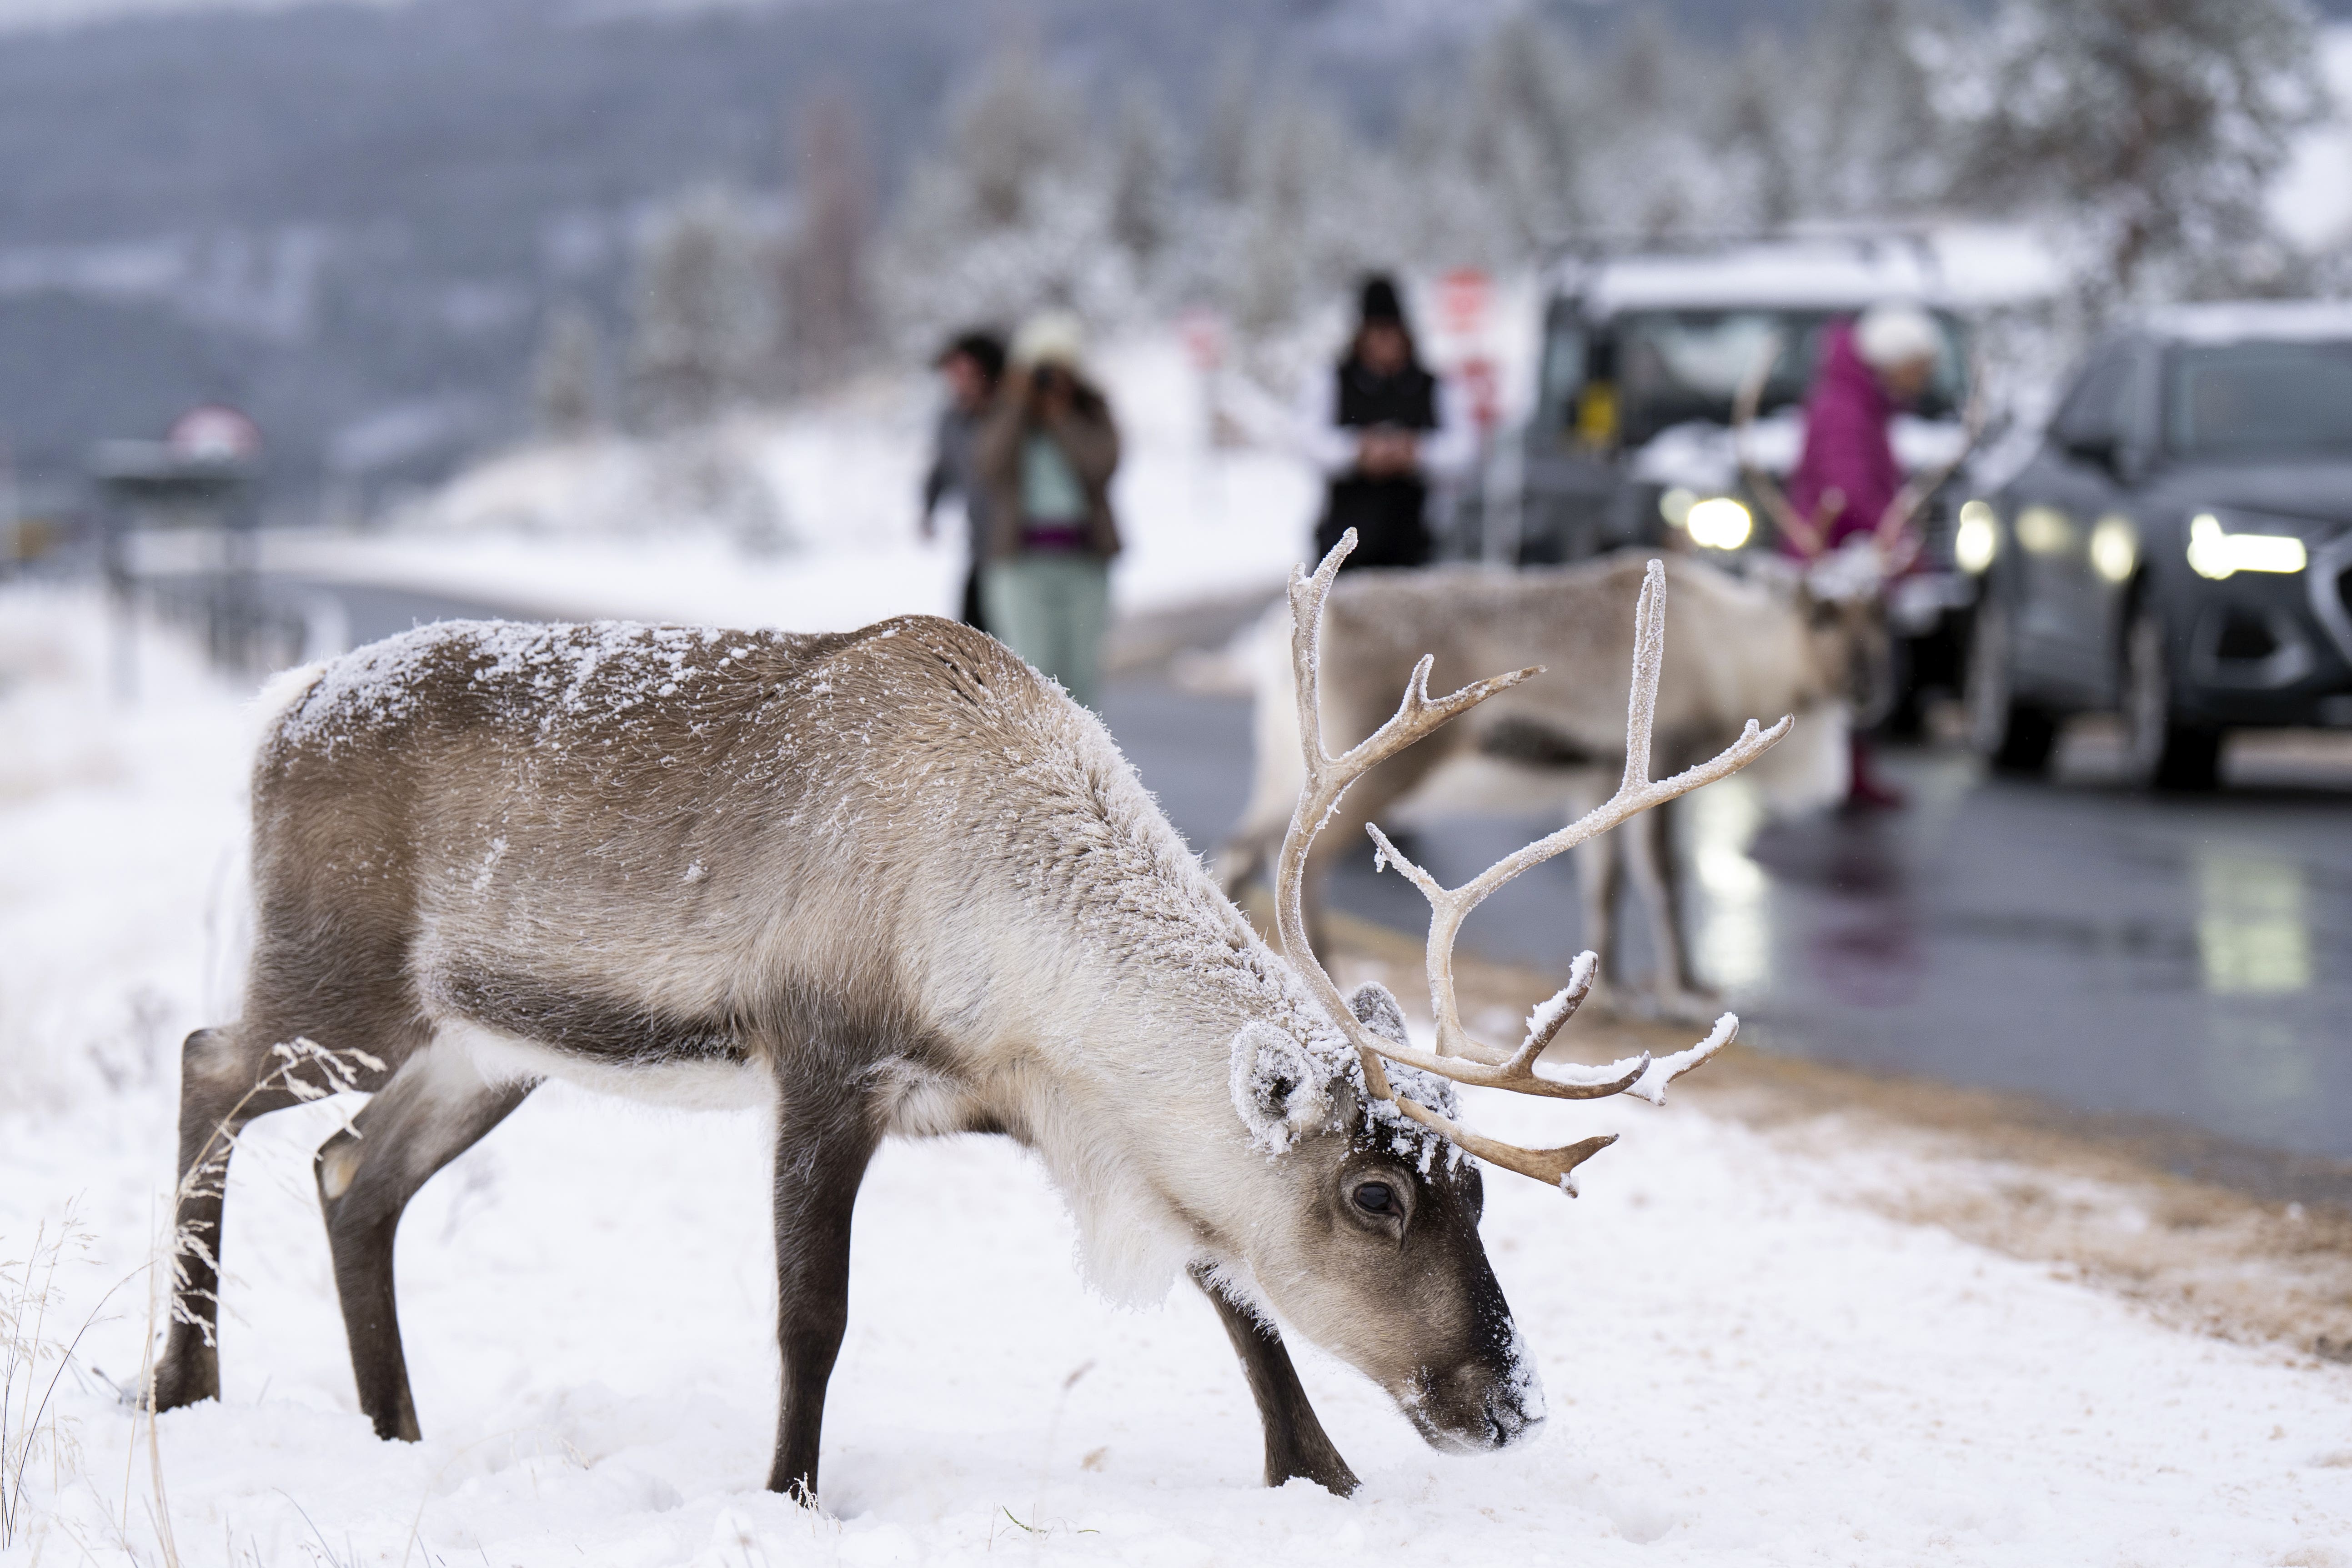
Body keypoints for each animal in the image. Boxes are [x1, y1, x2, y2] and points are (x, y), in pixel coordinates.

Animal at [151, 535, 1786, 1505]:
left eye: (1471, 1190)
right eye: (1376, 1192)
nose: (1506, 1400)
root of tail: (283, 703)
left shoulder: (1048, 1112)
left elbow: (1235, 1294)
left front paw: (1321, 1475)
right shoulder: (823, 1061)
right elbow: (812, 1315)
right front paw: (789, 1495)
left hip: (487, 1049)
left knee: (353, 1173)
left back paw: (394, 1427)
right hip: (340, 981)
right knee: (206, 1067)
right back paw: (185, 1383)